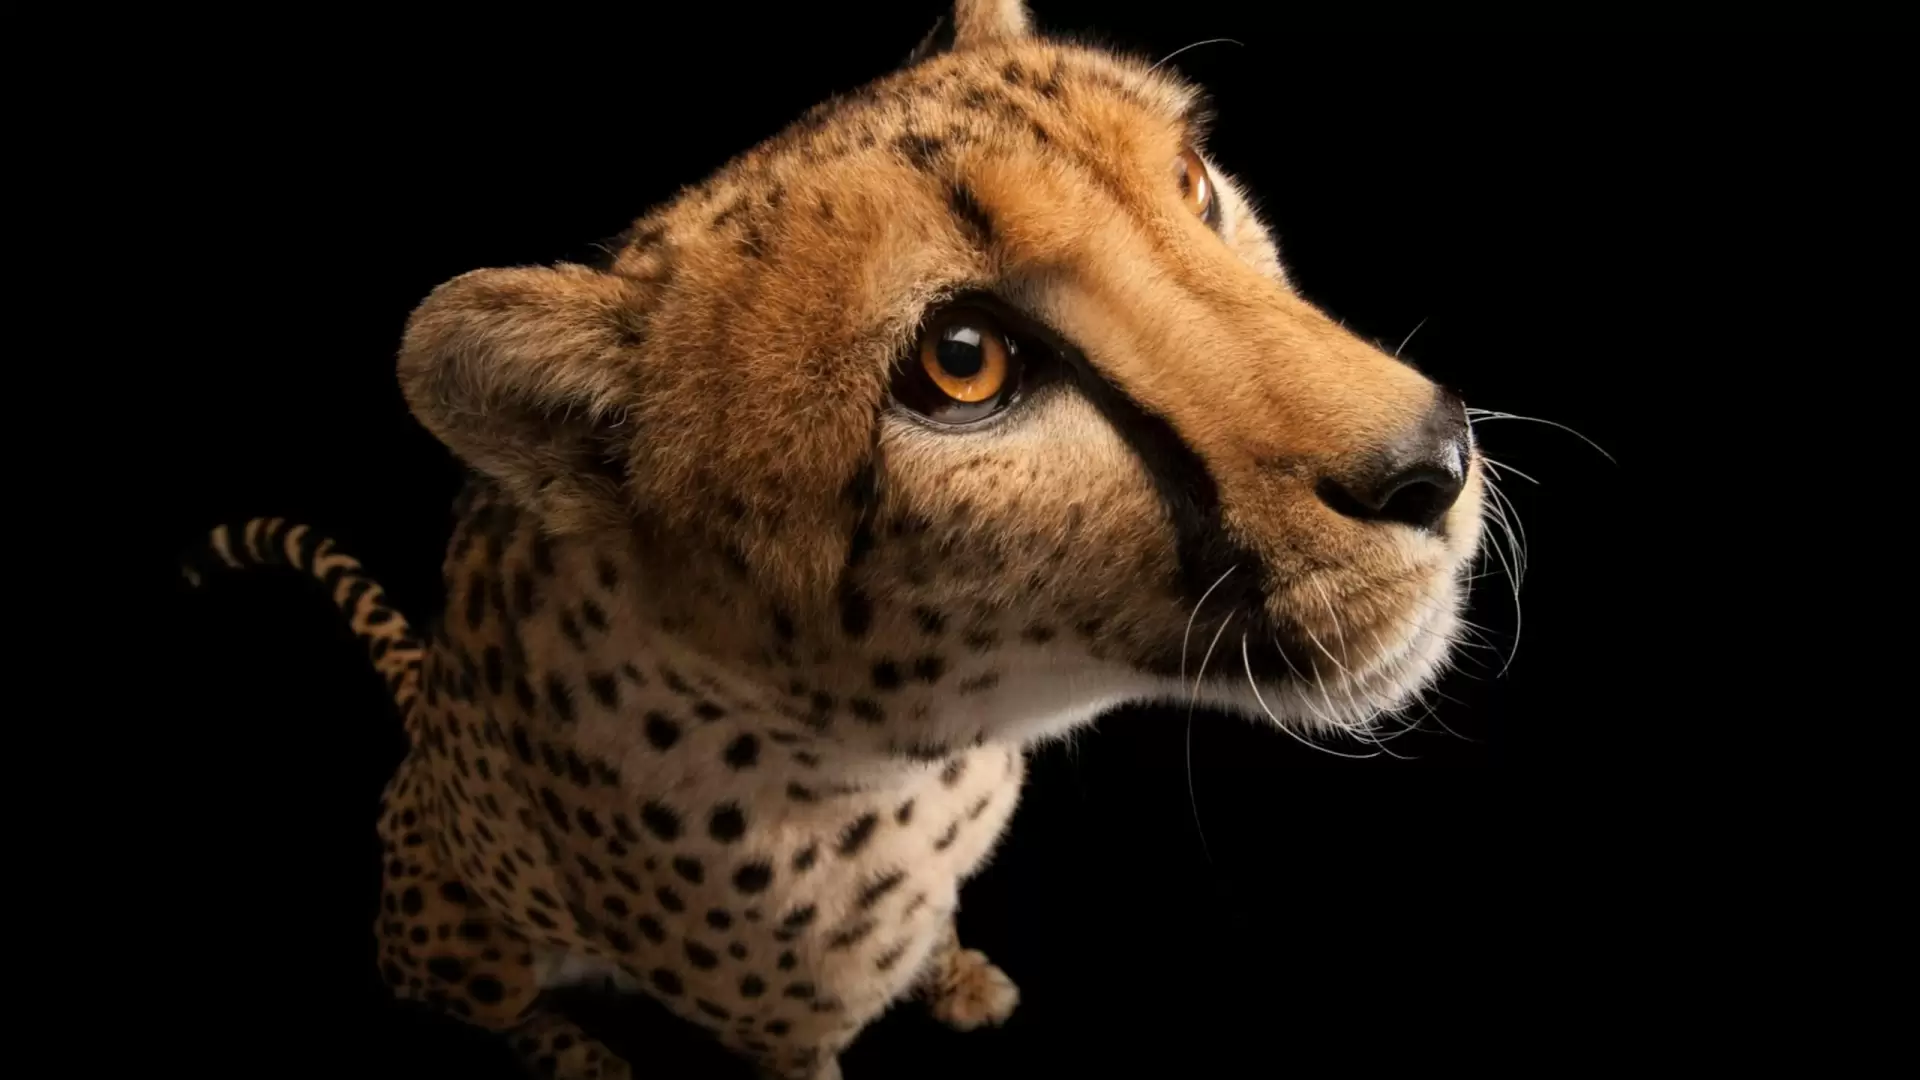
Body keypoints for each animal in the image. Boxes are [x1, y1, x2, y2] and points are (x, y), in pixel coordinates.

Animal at [180, 2, 1487, 1077]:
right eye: (963, 363)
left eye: (1188, 179)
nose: (1435, 459)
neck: (920, 755)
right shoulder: (781, 1041)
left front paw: (955, 973)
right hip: (467, 944)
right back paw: (577, 1053)